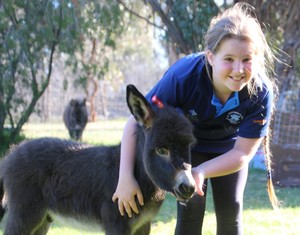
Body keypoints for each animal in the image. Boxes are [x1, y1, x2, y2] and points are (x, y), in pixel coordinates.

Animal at [0, 84, 197, 235]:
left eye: (189, 147)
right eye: (161, 150)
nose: (188, 187)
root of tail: (9, 156)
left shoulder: (144, 224)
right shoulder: (116, 224)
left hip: (43, 218)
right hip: (24, 213)